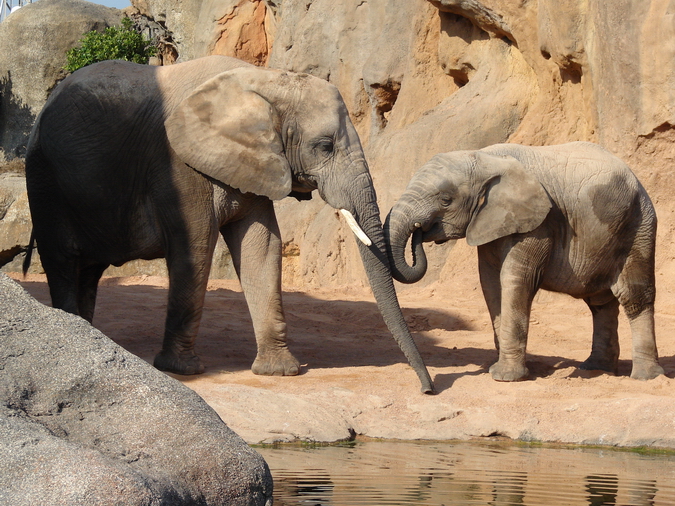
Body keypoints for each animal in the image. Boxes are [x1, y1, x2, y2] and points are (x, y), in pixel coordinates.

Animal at [24, 55, 434, 393]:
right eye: (324, 146)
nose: (427, 389)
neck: (266, 80)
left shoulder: (256, 162)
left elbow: (262, 247)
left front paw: (279, 371)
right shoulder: (178, 165)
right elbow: (196, 246)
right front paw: (182, 369)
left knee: (89, 270)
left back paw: (93, 337)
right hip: (45, 180)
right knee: (63, 261)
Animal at [384, 142, 664, 382]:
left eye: (445, 200)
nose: (419, 231)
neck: (484, 157)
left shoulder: (540, 222)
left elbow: (516, 279)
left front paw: (505, 377)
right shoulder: (493, 222)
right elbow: (490, 283)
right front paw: (498, 368)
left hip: (639, 226)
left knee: (634, 296)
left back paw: (645, 377)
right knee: (600, 302)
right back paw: (595, 369)